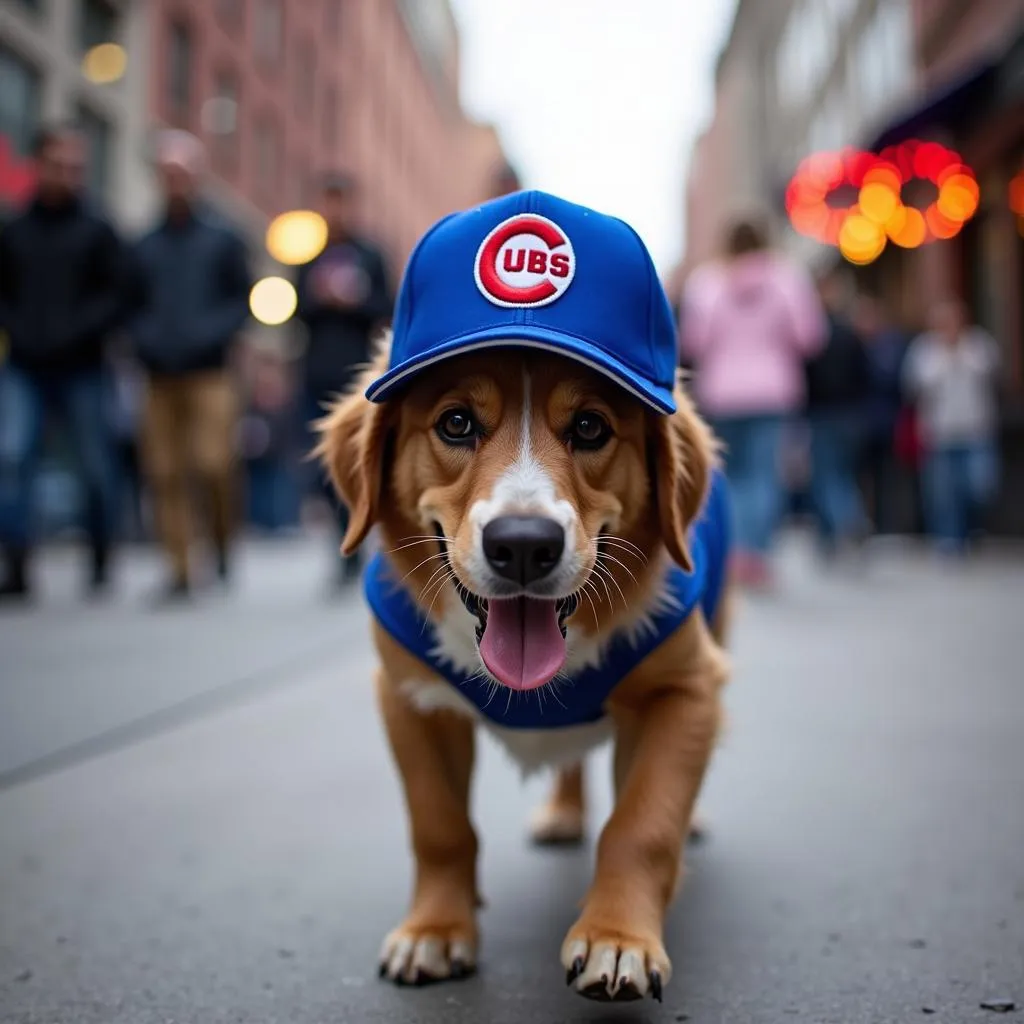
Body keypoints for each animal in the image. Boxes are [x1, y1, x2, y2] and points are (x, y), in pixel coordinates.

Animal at [315, 190, 733, 999]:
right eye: (455, 422)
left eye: (591, 427)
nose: (523, 545)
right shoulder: (409, 700)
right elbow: (440, 827)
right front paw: (435, 930)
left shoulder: (688, 689)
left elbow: (643, 825)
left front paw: (617, 938)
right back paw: (562, 813)